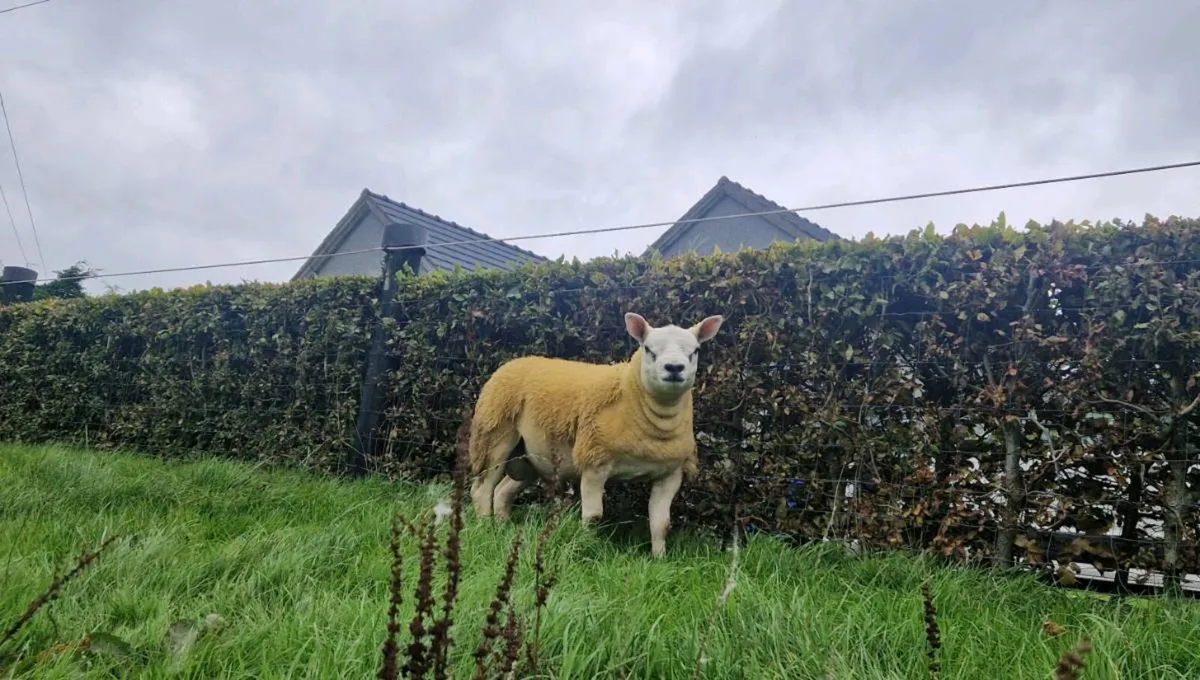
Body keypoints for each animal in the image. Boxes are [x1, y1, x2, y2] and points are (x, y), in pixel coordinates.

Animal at [466, 311, 725, 557]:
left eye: (695, 350)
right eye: (649, 349)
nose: (674, 368)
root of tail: (514, 363)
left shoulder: (670, 474)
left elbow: (661, 524)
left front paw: (659, 559)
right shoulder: (594, 461)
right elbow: (593, 516)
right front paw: (583, 549)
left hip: (529, 458)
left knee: (502, 491)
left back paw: (502, 527)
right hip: (494, 435)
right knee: (482, 488)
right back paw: (485, 528)